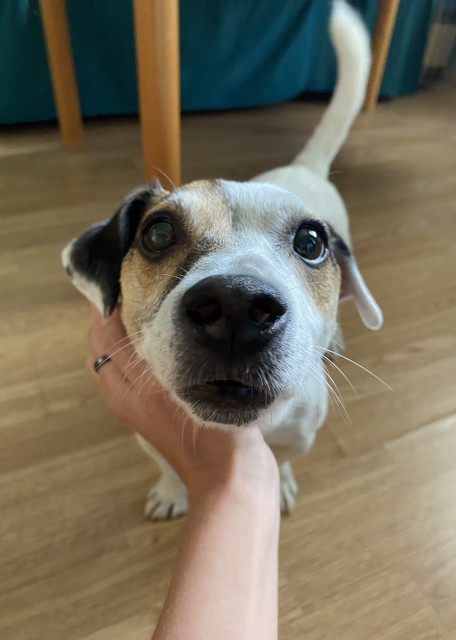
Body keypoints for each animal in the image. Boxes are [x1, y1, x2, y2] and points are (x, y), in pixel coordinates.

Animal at [63, 0, 382, 519]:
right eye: (158, 232)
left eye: (311, 242)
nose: (237, 305)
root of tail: (305, 167)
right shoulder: (149, 434)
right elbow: (168, 464)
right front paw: (172, 492)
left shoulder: (299, 435)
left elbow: (282, 459)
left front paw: (282, 484)